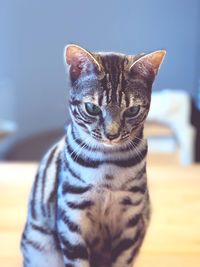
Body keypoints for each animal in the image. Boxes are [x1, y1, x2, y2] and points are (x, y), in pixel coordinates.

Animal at [20, 44, 166, 267]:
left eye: (132, 110)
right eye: (92, 108)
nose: (112, 134)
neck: (108, 165)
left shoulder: (131, 220)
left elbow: (123, 259)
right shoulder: (71, 218)